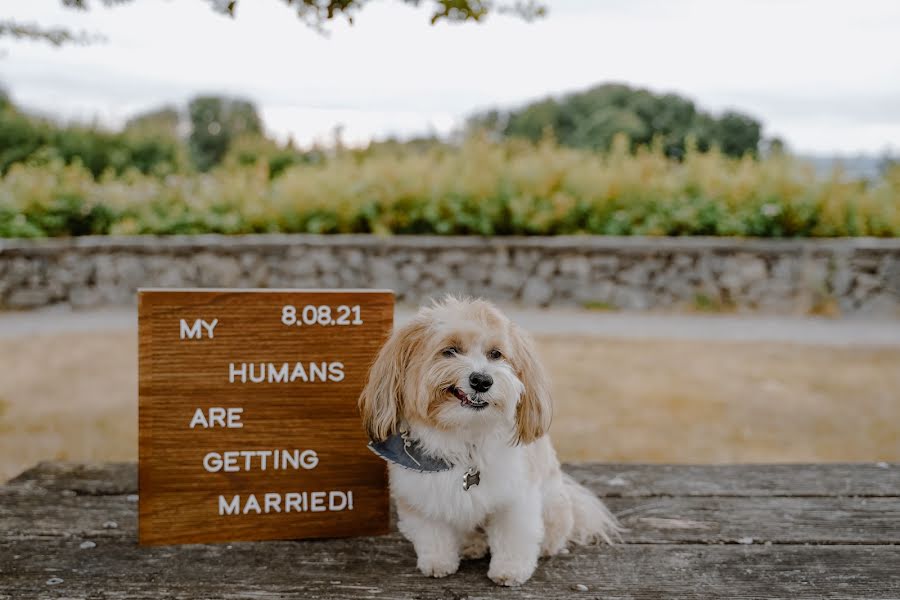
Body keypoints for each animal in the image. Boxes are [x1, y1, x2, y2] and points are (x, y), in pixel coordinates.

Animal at [358, 296, 620, 584]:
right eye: (450, 350)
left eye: (496, 354)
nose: (482, 380)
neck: (464, 438)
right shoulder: (421, 497)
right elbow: (433, 535)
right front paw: (438, 562)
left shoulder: (516, 497)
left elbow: (513, 537)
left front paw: (510, 570)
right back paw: (471, 545)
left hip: (554, 504)